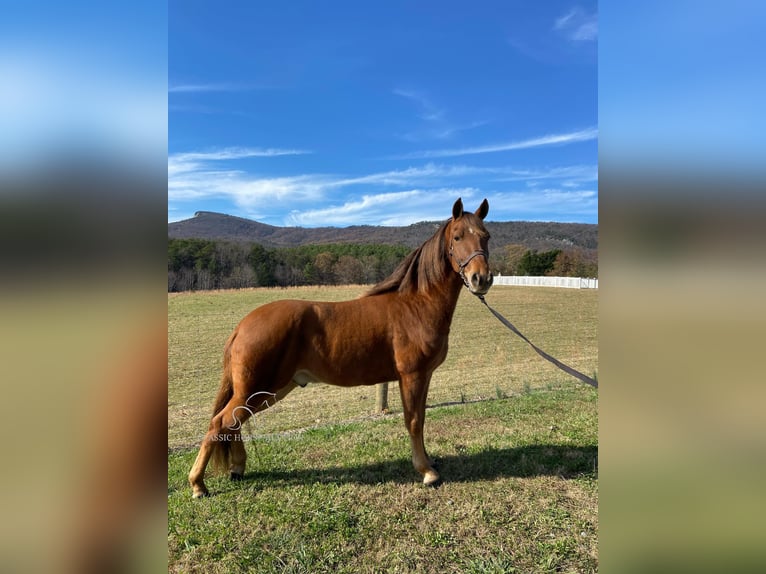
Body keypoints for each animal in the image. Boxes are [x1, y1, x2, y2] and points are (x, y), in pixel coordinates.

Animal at [189, 199, 496, 500]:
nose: (481, 278)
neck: (415, 304)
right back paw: (198, 485)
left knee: (233, 423)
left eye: (486, 236)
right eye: (458, 237)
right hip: (257, 389)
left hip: (268, 391)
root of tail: (242, 326)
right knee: (220, 422)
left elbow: (420, 418)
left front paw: (429, 462)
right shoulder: (412, 376)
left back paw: (237, 469)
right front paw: (427, 472)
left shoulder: (424, 376)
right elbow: (413, 420)